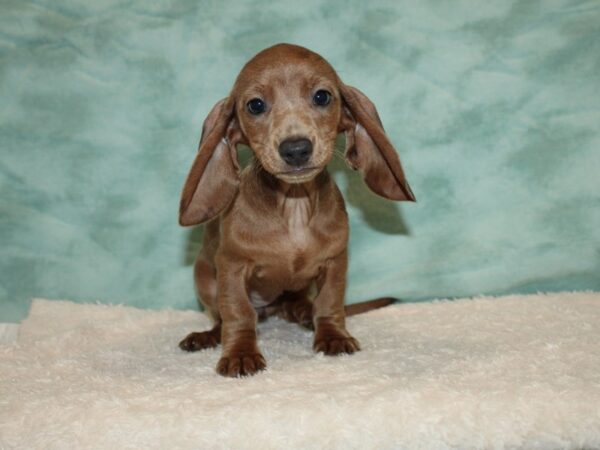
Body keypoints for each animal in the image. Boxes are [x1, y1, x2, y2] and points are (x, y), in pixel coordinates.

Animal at [176, 44, 414, 378]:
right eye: (255, 105)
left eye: (322, 97)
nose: (296, 149)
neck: (294, 205)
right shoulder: (232, 268)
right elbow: (238, 314)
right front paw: (240, 353)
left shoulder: (335, 262)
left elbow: (330, 303)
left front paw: (333, 336)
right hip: (203, 277)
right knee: (222, 317)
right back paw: (208, 335)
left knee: (301, 304)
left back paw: (304, 312)